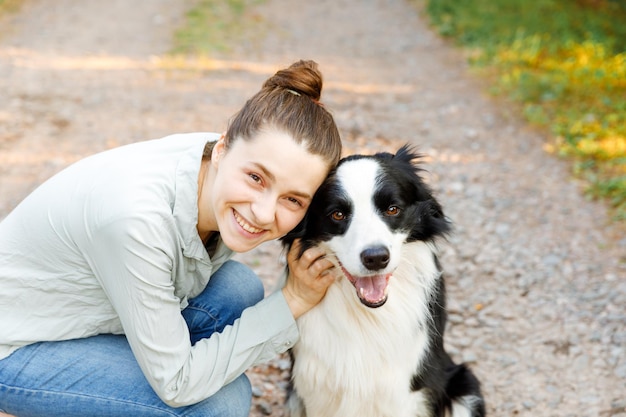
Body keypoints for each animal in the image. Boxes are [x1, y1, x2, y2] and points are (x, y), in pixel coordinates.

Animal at [280, 145, 486, 416]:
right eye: (337, 214)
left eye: (392, 209)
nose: (376, 258)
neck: (368, 316)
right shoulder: (316, 387)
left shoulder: (402, 391)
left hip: (464, 387)